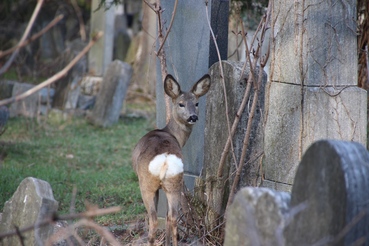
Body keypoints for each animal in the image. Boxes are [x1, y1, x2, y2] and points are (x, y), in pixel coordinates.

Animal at [132, 74, 210, 245]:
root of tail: (165, 159)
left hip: (146, 184)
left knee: (154, 220)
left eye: (196, 103)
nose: (193, 117)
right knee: (172, 217)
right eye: (181, 104)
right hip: (175, 182)